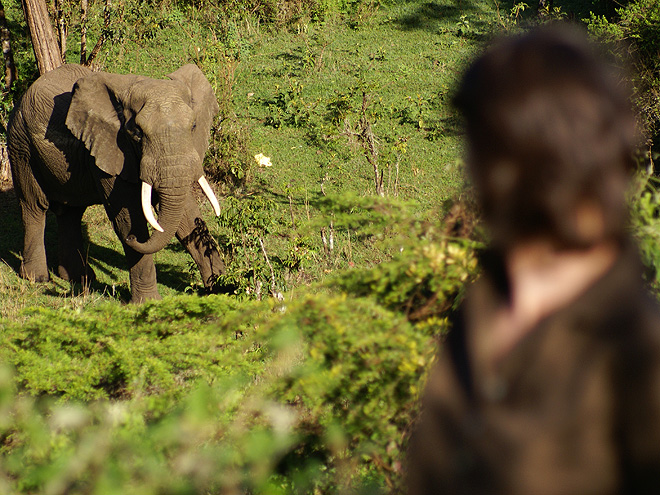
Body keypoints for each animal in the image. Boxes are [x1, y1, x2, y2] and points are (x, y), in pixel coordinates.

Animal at [7, 62, 227, 302]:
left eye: (194, 126)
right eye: (137, 133)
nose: (131, 238)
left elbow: (188, 216)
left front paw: (224, 288)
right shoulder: (110, 146)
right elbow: (128, 218)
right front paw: (148, 303)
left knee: (71, 212)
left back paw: (79, 278)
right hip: (21, 145)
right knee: (34, 206)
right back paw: (37, 278)